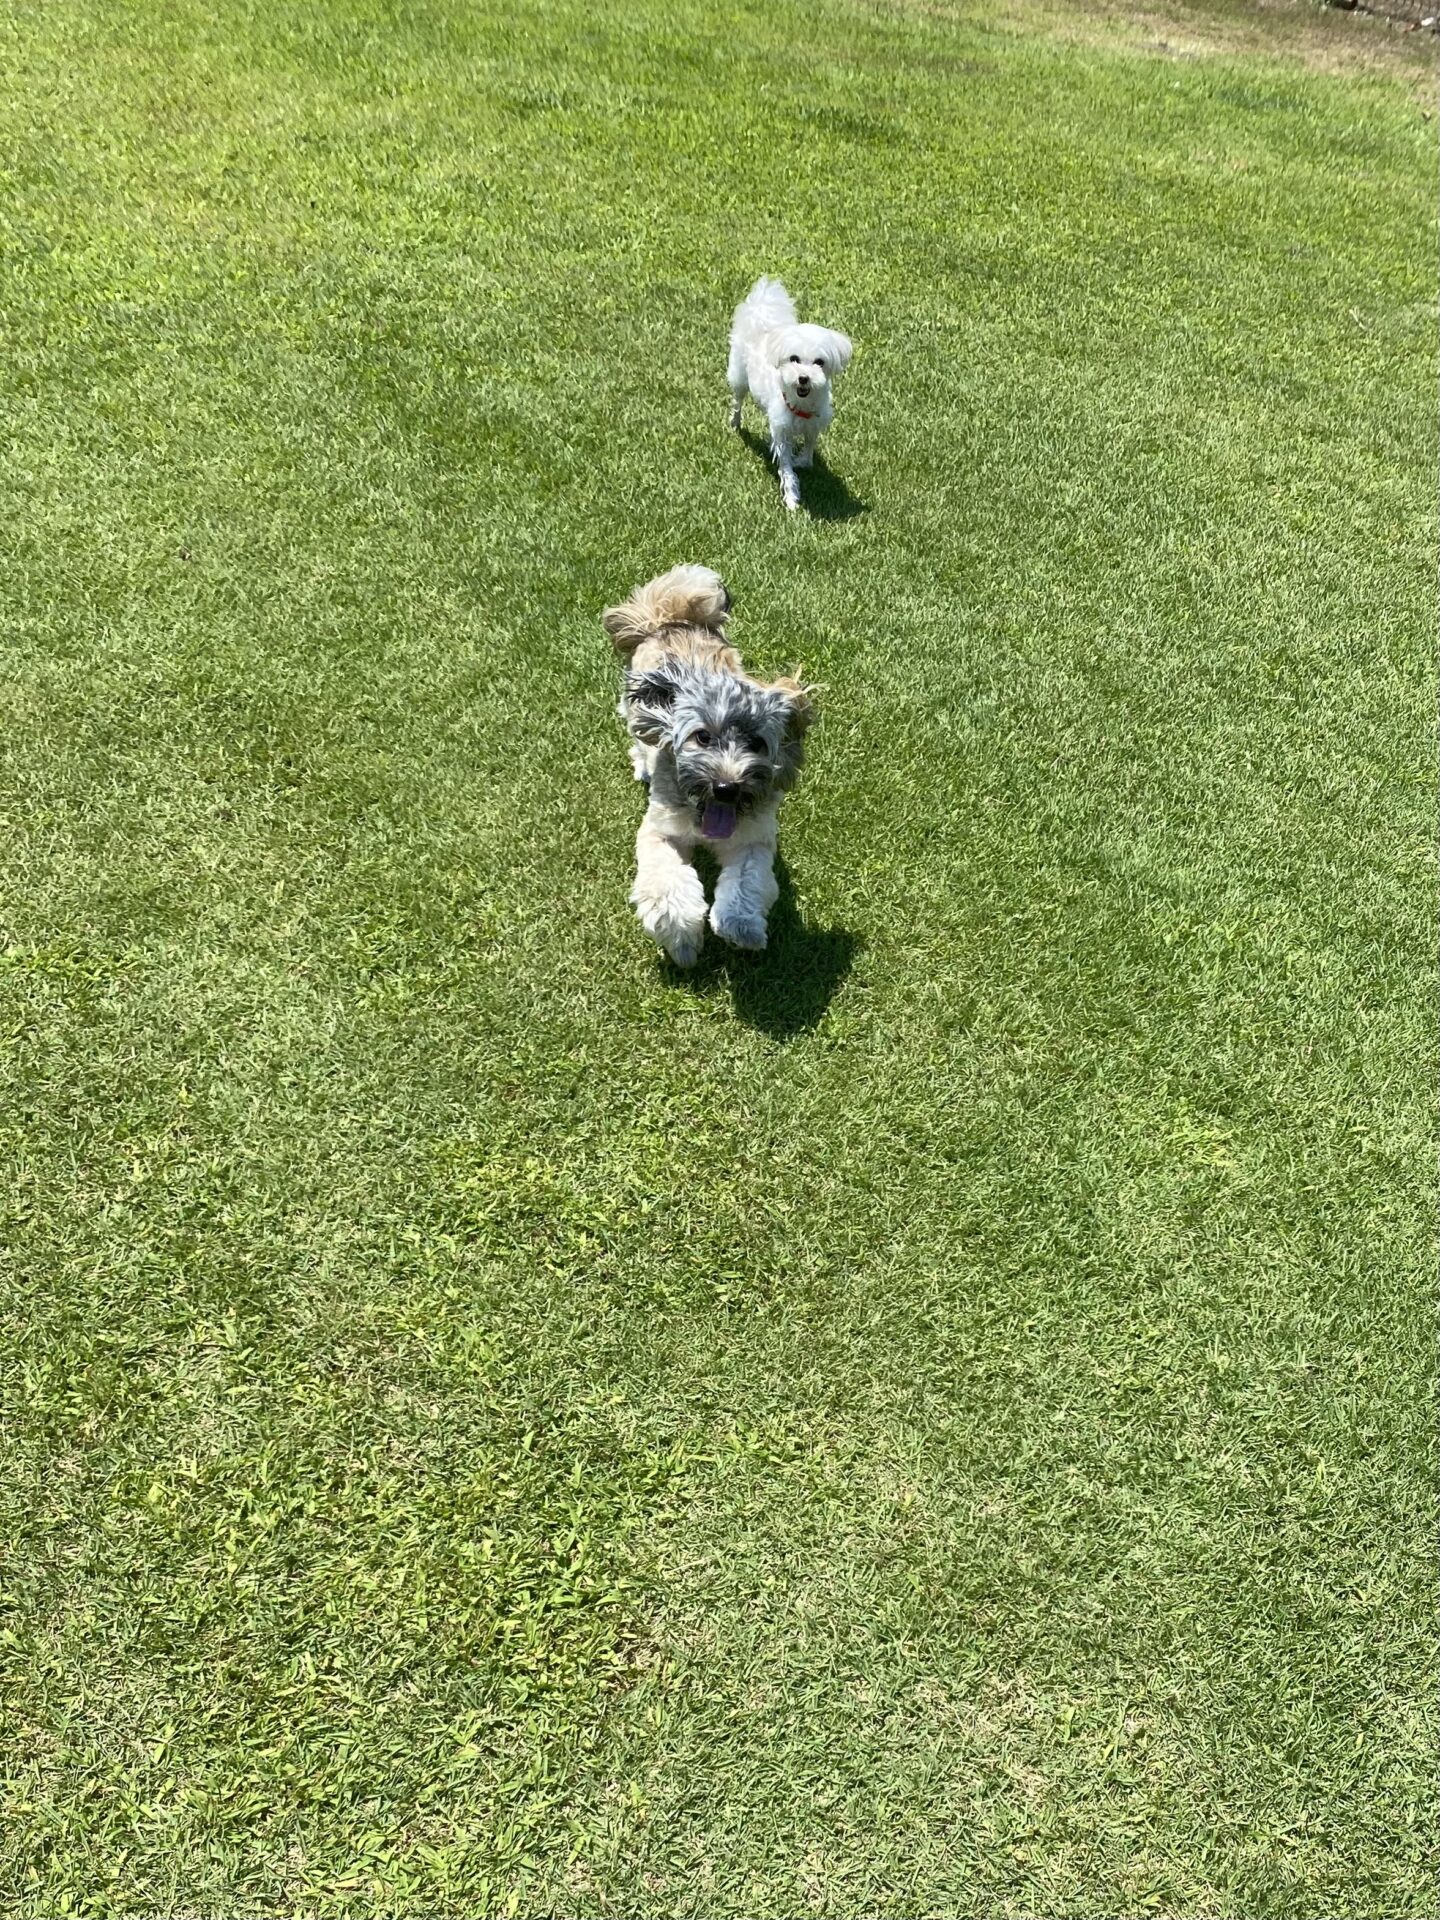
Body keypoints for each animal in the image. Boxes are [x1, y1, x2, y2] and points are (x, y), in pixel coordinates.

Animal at [602, 563, 813, 966]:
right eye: (702, 737)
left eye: (756, 744)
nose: (726, 787)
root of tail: (671, 619)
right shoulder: (659, 831)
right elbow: (668, 883)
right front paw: (681, 937)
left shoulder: (753, 840)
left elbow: (745, 884)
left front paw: (740, 928)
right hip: (633, 710)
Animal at [727, 277, 853, 511]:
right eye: (794, 358)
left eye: (820, 362)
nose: (803, 378)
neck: (801, 405)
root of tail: (761, 308)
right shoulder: (783, 430)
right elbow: (786, 468)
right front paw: (792, 497)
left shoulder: (813, 424)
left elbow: (808, 452)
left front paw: (800, 461)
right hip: (739, 375)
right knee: (738, 400)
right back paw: (734, 421)